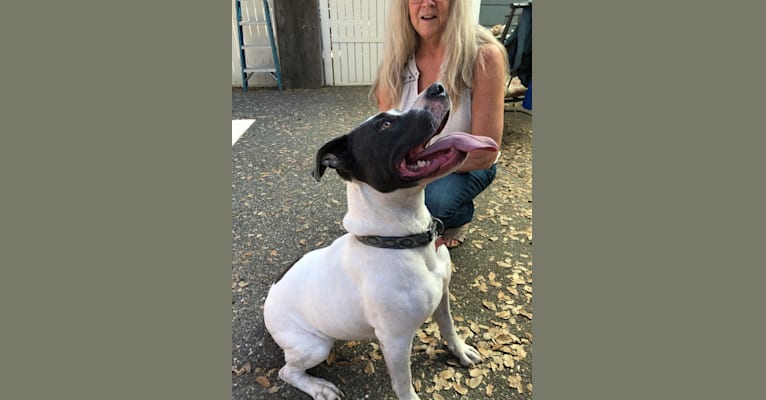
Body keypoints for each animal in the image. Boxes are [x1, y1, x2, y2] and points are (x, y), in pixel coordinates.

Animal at [268, 83, 500, 398]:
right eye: (386, 125)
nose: (437, 87)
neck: (402, 239)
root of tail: (269, 295)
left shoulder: (442, 299)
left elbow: (449, 327)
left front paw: (460, 351)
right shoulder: (396, 340)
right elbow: (403, 383)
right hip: (314, 346)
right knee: (287, 371)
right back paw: (319, 388)